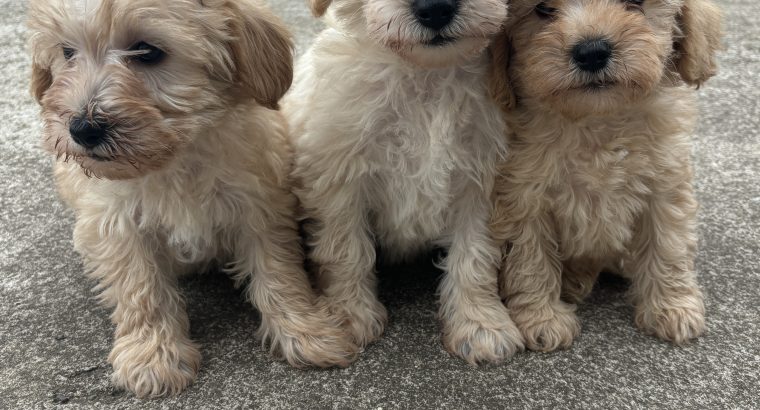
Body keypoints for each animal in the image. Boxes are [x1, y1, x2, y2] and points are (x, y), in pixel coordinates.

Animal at [26, 0, 354, 398]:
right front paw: (153, 355)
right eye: (67, 52)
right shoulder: (116, 222)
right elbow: (140, 288)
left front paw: (307, 330)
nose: (83, 129)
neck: (175, 160)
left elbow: (278, 271)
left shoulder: (258, 206)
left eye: (147, 51)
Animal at [284, 0, 524, 364]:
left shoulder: (483, 180)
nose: (435, 8)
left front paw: (479, 323)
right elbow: (345, 250)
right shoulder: (338, 176)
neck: (424, 74)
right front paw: (347, 316)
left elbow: (475, 254)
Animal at [490, 0, 720, 352]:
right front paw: (542, 319)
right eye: (543, 10)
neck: (598, 120)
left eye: (635, 4)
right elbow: (531, 259)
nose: (592, 52)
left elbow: (669, 247)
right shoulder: (525, 196)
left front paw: (672, 307)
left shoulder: (665, 184)